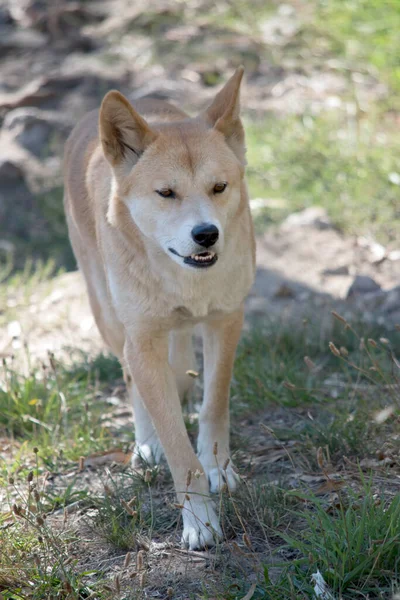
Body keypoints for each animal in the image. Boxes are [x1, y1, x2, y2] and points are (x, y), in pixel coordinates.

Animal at [63, 69, 255, 548]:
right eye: (166, 193)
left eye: (219, 187)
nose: (206, 234)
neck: (184, 277)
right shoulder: (143, 342)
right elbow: (177, 448)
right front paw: (200, 521)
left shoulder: (227, 319)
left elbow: (214, 403)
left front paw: (218, 465)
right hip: (109, 319)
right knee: (132, 379)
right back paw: (146, 442)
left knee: (183, 357)